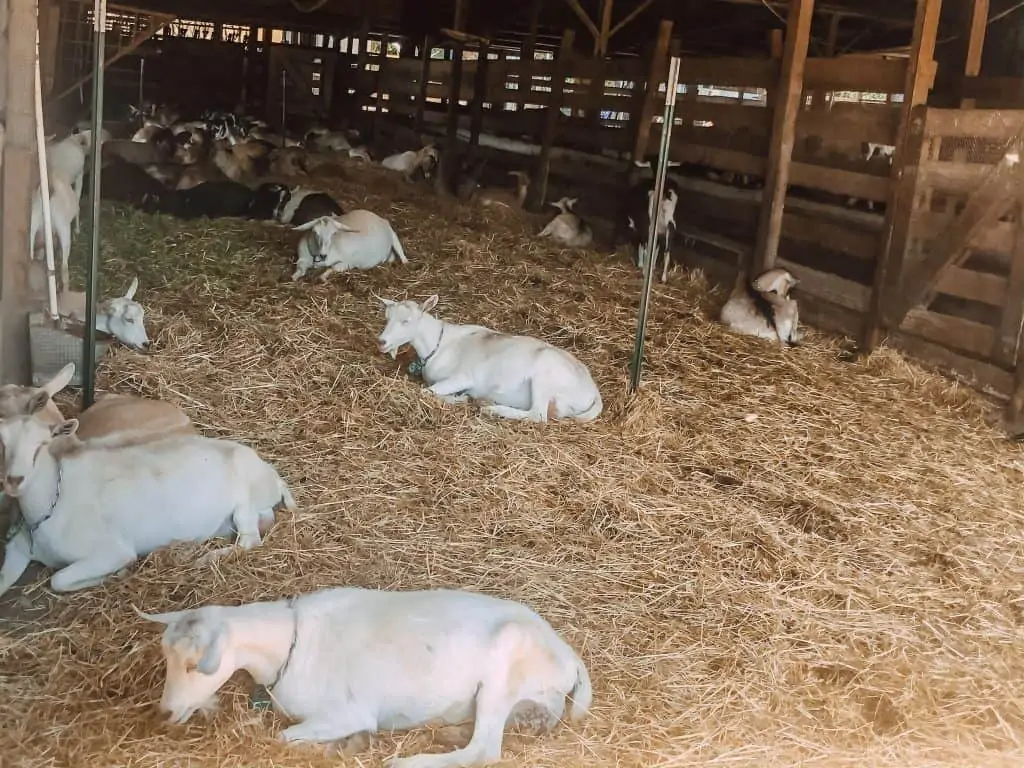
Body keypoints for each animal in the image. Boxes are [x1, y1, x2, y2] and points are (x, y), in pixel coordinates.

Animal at [0, 397, 296, 602]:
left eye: (41, 446)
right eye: (2, 444)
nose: (14, 480)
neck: (51, 502)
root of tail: (272, 475)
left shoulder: (111, 550)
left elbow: (59, 580)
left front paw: (117, 574)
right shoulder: (16, 550)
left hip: (245, 502)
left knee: (249, 541)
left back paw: (207, 558)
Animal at [134, 585, 593, 765]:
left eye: (194, 664)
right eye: (166, 658)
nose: (164, 713)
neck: (291, 643)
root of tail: (569, 656)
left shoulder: (349, 710)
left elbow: (283, 737)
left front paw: (345, 746)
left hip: (503, 669)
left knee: (484, 751)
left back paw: (407, 762)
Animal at [376, 296, 598, 428]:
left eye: (406, 321)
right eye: (387, 318)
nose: (381, 342)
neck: (440, 344)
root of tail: (593, 392)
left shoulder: (463, 377)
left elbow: (426, 393)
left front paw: (460, 399)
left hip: (545, 376)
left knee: (538, 415)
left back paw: (492, 409)